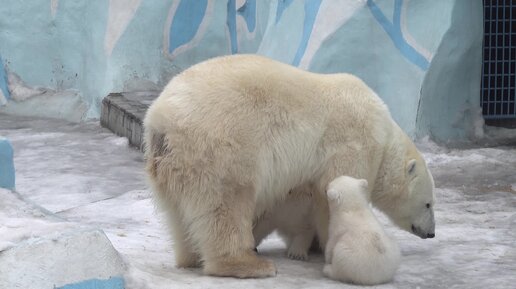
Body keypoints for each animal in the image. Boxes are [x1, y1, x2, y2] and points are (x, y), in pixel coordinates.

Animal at [144, 53, 436, 276]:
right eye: (428, 204)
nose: (431, 233)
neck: (384, 132)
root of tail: (160, 119)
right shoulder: (353, 141)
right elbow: (335, 190)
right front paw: (324, 243)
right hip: (220, 145)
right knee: (226, 202)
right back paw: (249, 264)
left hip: (171, 163)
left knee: (178, 212)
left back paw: (191, 257)